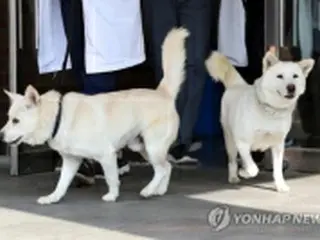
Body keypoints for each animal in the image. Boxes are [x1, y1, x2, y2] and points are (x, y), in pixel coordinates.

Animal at [0, 28, 190, 204]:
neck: (58, 117)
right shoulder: (71, 162)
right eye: (8, 118)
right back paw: (159, 190)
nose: (0, 135)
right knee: (166, 167)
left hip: (152, 147)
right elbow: (62, 183)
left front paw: (112, 195)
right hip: (142, 147)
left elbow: (111, 178)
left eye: (15, 121)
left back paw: (148, 190)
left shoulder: (107, 155)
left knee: (163, 168)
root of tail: (163, 93)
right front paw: (53, 197)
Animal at [206, 50, 314, 191]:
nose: (291, 87)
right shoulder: (242, 143)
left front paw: (280, 186)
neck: (271, 111)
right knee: (233, 161)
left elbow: (277, 169)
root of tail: (237, 85)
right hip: (230, 142)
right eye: (280, 76)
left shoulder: (278, 145)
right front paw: (244, 173)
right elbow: (253, 168)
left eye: (295, 76)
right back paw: (234, 176)